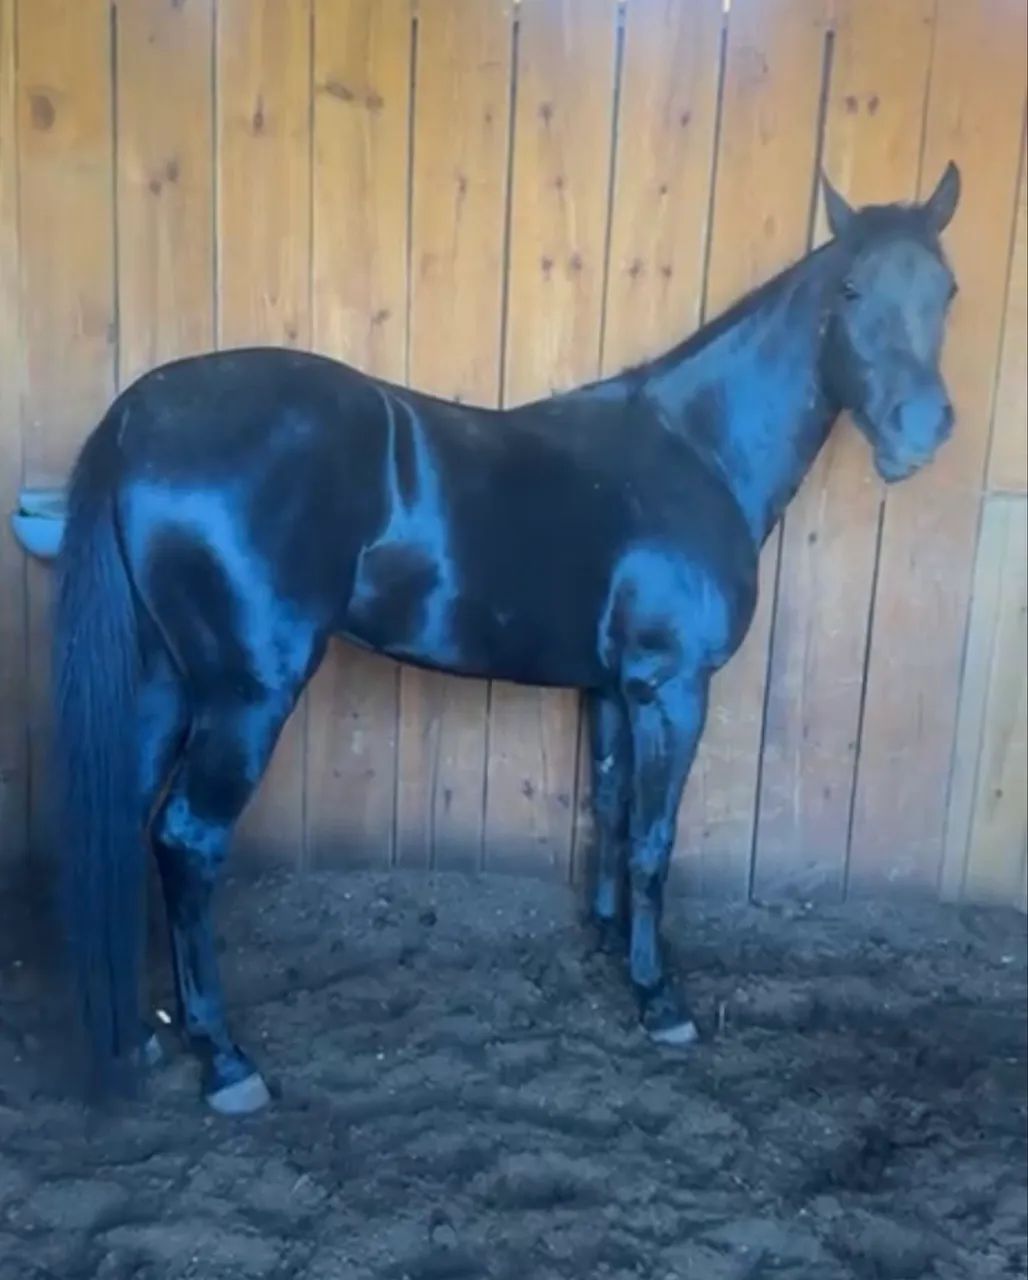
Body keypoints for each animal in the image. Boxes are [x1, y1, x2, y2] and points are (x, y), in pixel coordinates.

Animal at [51, 164, 962, 1114]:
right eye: (850, 290)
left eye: (946, 292)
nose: (921, 430)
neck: (695, 450)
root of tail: (135, 418)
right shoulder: (672, 687)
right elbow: (655, 837)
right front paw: (660, 999)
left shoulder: (614, 689)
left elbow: (612, 807)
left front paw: (609, 942)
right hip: (244, 697)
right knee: (187, 841)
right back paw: (226, 1061)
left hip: (162, 685)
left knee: (125, 821)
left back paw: (138, 1036)